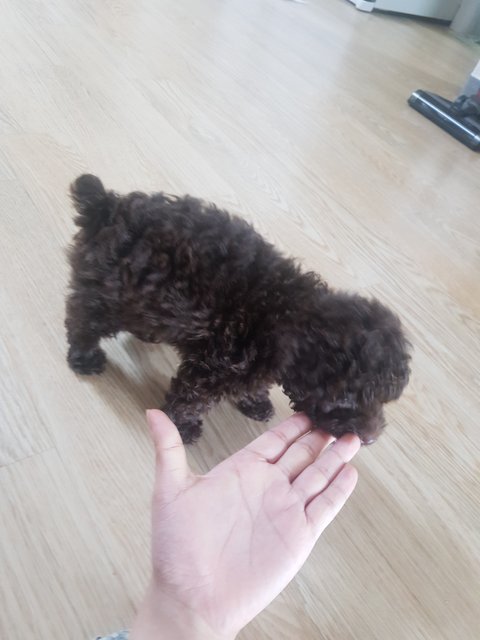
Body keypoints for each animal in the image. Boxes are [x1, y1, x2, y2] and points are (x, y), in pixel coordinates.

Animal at [65, 174, 411, 444]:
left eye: (382, 400)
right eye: (346, 399)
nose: (370, 438)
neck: (288, 312)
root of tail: (107, 205)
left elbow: (251, 386)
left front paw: (255, 402)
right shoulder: (212, 367)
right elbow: (190, 400)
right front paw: (182, 428)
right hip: (108, 293)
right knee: (83, 320)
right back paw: (85, 358)